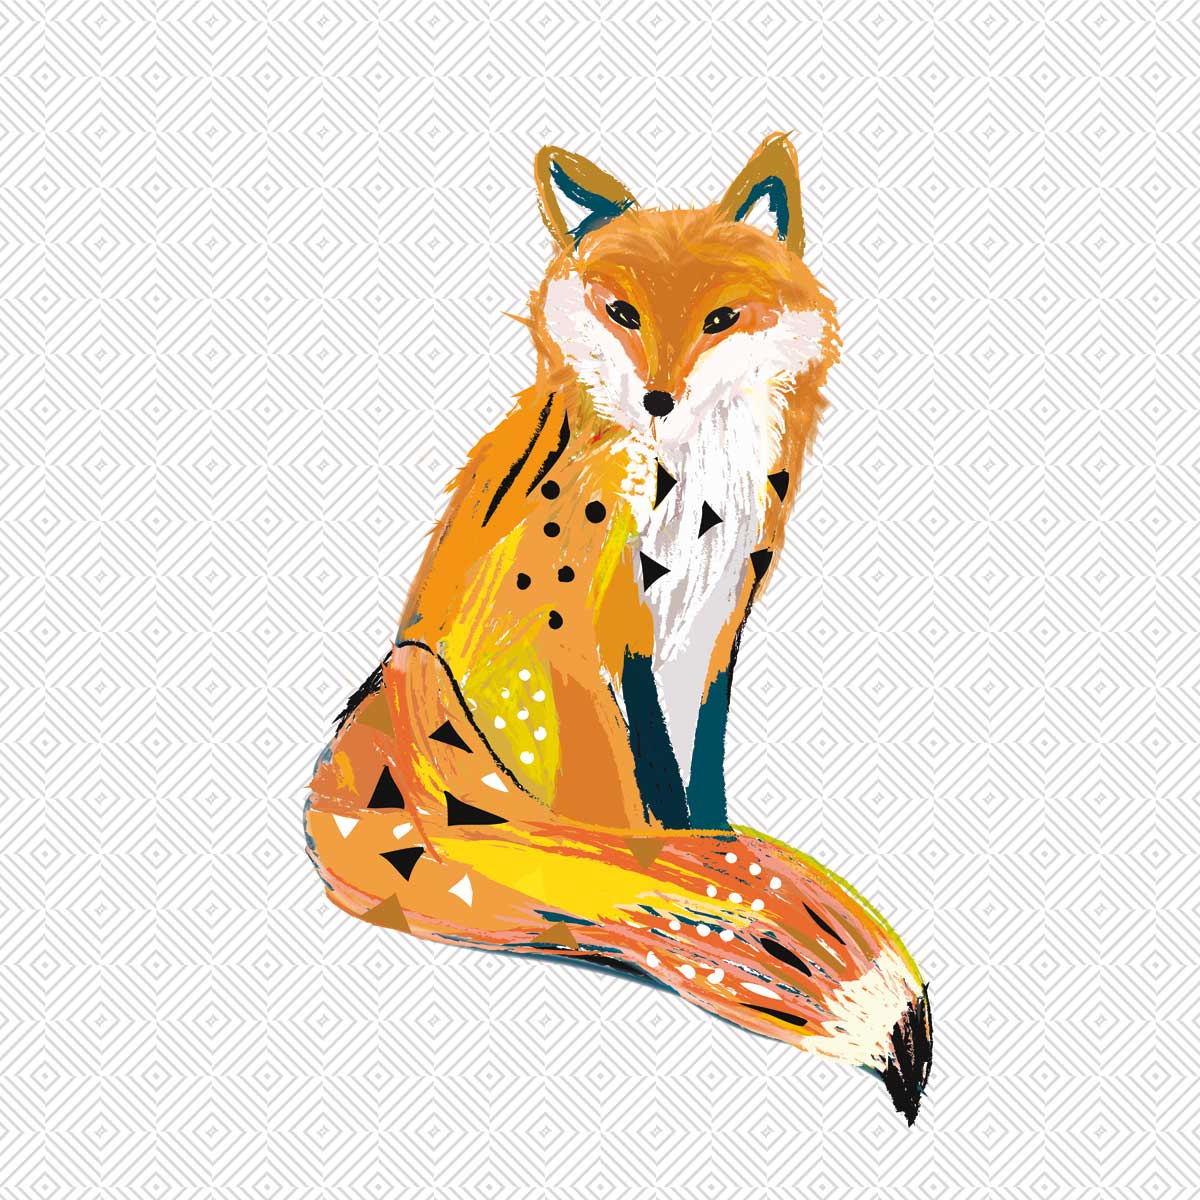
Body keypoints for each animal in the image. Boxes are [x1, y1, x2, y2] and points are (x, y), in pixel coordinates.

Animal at [304, 134, 933, 1124]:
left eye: (722, 317)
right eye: (623, 313)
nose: (659, 400)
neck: (694, 501)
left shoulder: (715, 627)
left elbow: (693, 781)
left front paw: (705, 858)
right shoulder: (595, 636)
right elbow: (634, 798)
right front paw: (682, 878)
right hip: (424, 675)